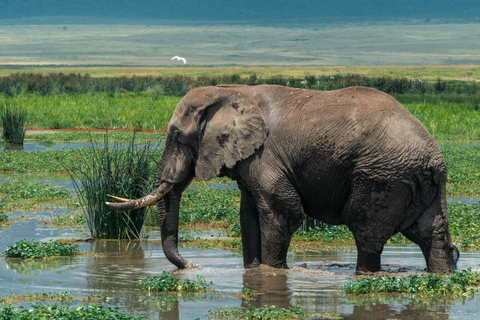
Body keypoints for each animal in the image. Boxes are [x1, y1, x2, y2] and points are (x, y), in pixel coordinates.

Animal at [107, 84, 460, 274]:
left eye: (178, 137)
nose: (192, 267)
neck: (231, 91)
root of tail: (436, 159)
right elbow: (248, 216)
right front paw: (253, 272)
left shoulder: (267, 157)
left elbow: (283, 213)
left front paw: (271, 272)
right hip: (413, 181)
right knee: (430, 235)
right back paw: (442, 273)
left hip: (381, 177)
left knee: (366, 233)